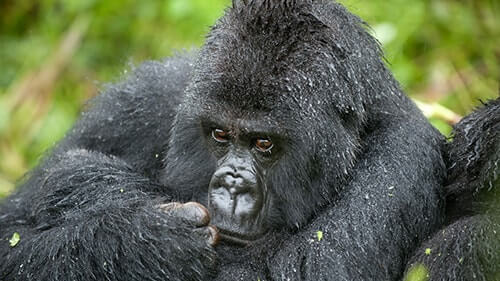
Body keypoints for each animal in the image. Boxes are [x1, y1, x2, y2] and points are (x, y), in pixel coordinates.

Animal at [0, 0, 498, 280]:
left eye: (263, 144)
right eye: (220, 134)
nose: (232, 185)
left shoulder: (403, 158)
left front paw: (130, 226)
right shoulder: (144, 97)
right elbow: (12, 232)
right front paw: (134, 237)